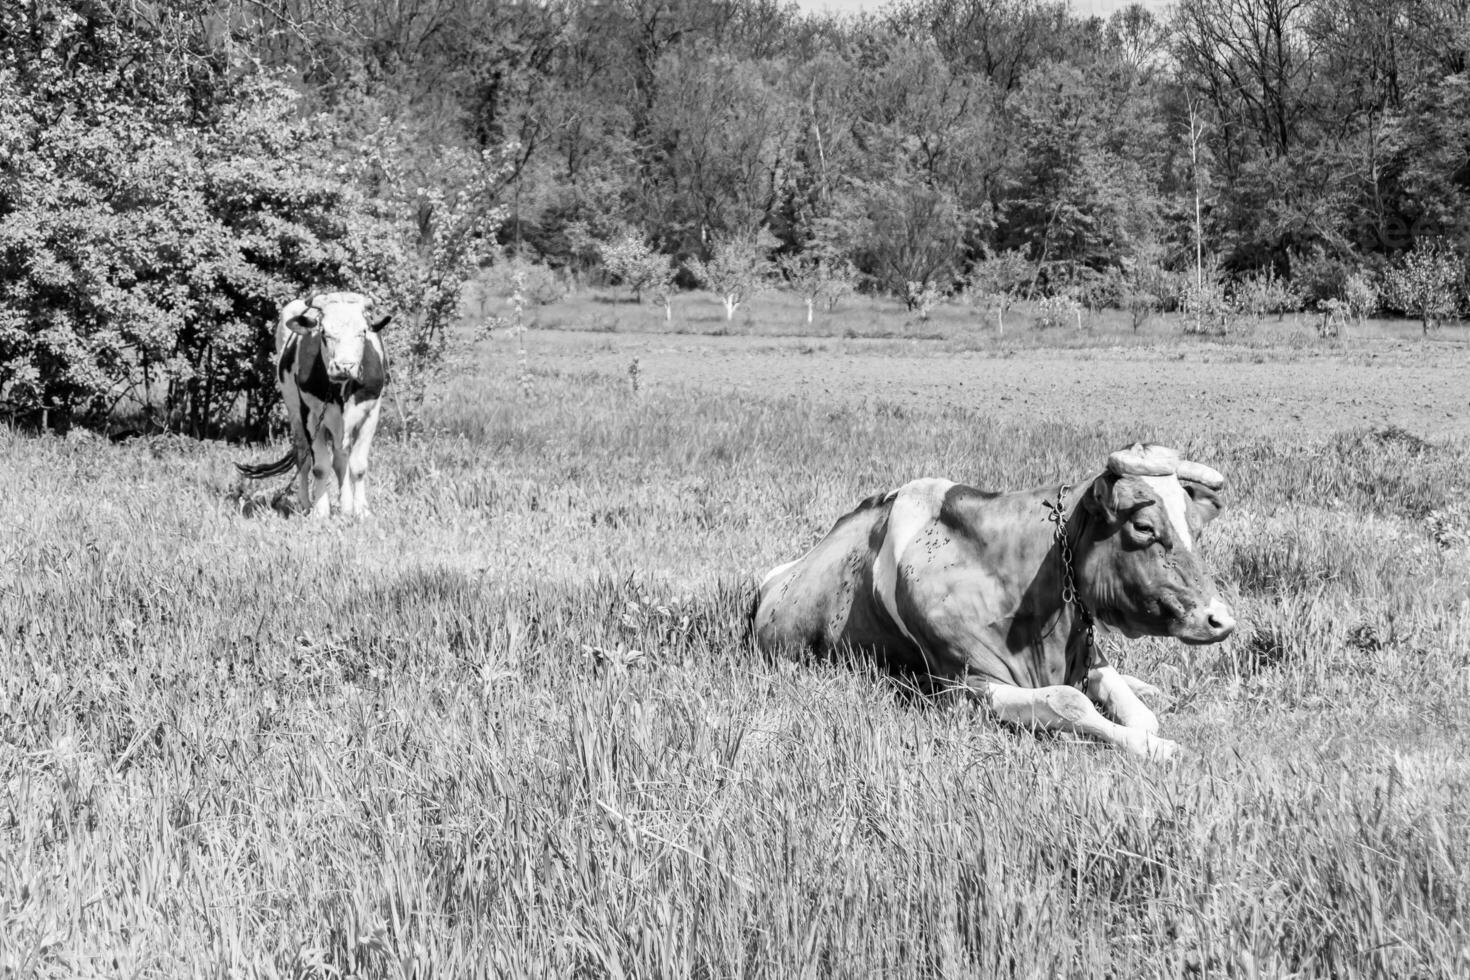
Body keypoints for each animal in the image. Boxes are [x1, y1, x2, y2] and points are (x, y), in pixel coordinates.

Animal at [233, 293, 388, 517]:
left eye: (363, 332)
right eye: (324, 332)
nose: (344, 366)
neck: (341, 389)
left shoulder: (371, 414)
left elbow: (358, 467)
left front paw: (361, 511)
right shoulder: (311, 416)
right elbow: (320, 467)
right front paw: (320, 512)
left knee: (341, 460)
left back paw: (346, 507)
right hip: (295, 415)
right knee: (303, 459)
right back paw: (306, 504)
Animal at [752, 443, 1234, 758]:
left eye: (1196, 528)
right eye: (1144, 527)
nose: (1222, 620)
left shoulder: (1089, 655)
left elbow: (1134, 706)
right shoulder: (968, 683)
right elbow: (1068, 700)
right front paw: (1156, 747)